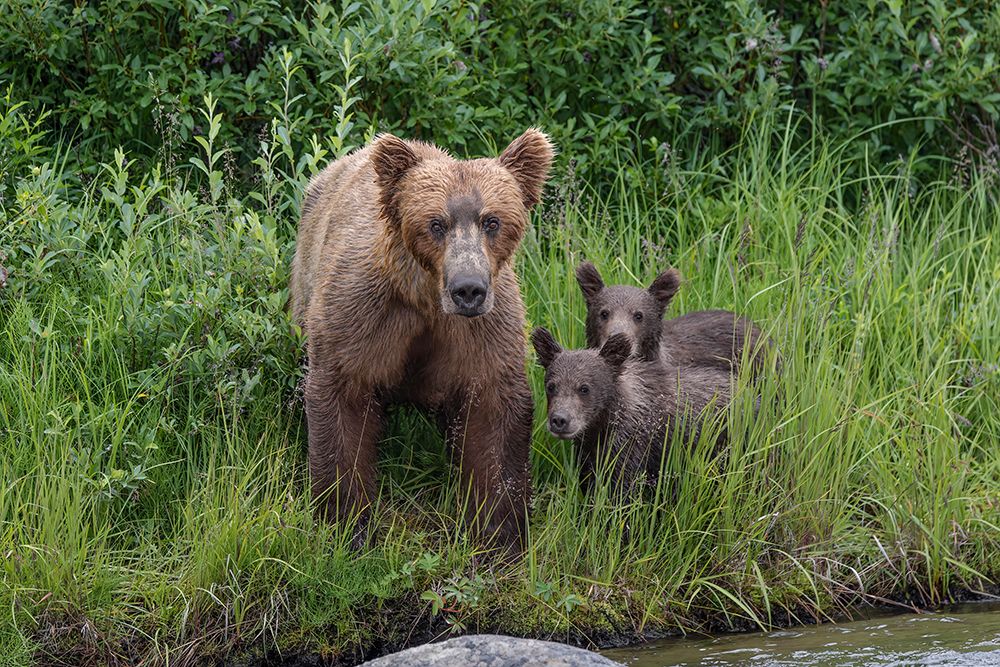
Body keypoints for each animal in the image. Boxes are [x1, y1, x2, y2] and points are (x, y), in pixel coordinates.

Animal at [290, 129, 554, 552]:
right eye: (435, 223)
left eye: (492, 221)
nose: (468, 289)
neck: (427, 301)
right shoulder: (365, 314)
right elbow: (343, 398)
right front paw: (346, 524)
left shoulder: (483, 331)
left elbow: (493, 414)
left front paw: (498, 534)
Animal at [530, 327, 732, 497]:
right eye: (551, 386)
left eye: (584, 388)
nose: (559, 420)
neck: (601, 424)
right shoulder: (589, 451)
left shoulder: (632, 446)